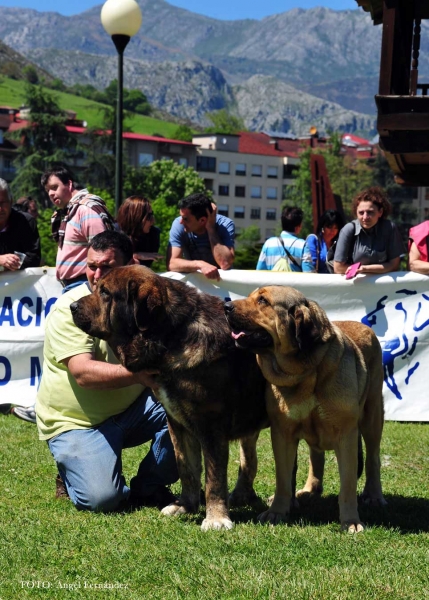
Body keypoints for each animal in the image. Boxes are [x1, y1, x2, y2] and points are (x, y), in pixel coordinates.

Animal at [70, 266, 268, 528]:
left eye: (105, 292)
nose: (72, 306)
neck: (170, 335)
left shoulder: (211, 425)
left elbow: (214, 477)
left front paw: (216, 518)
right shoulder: (178, 422)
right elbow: (186, 468)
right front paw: (185, 506)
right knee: (249, 460)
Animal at [222, 284, 386, 532]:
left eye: (263, 301)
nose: (226, 306)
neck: (305, 372)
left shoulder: (346, 434)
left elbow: (347, 485)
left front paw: (350, 522)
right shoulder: (283, 433)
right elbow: (283, 478)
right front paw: (276, 512)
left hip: (372, 416)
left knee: (373, 457)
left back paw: (374, 495)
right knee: (315, 456)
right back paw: (309, 490)